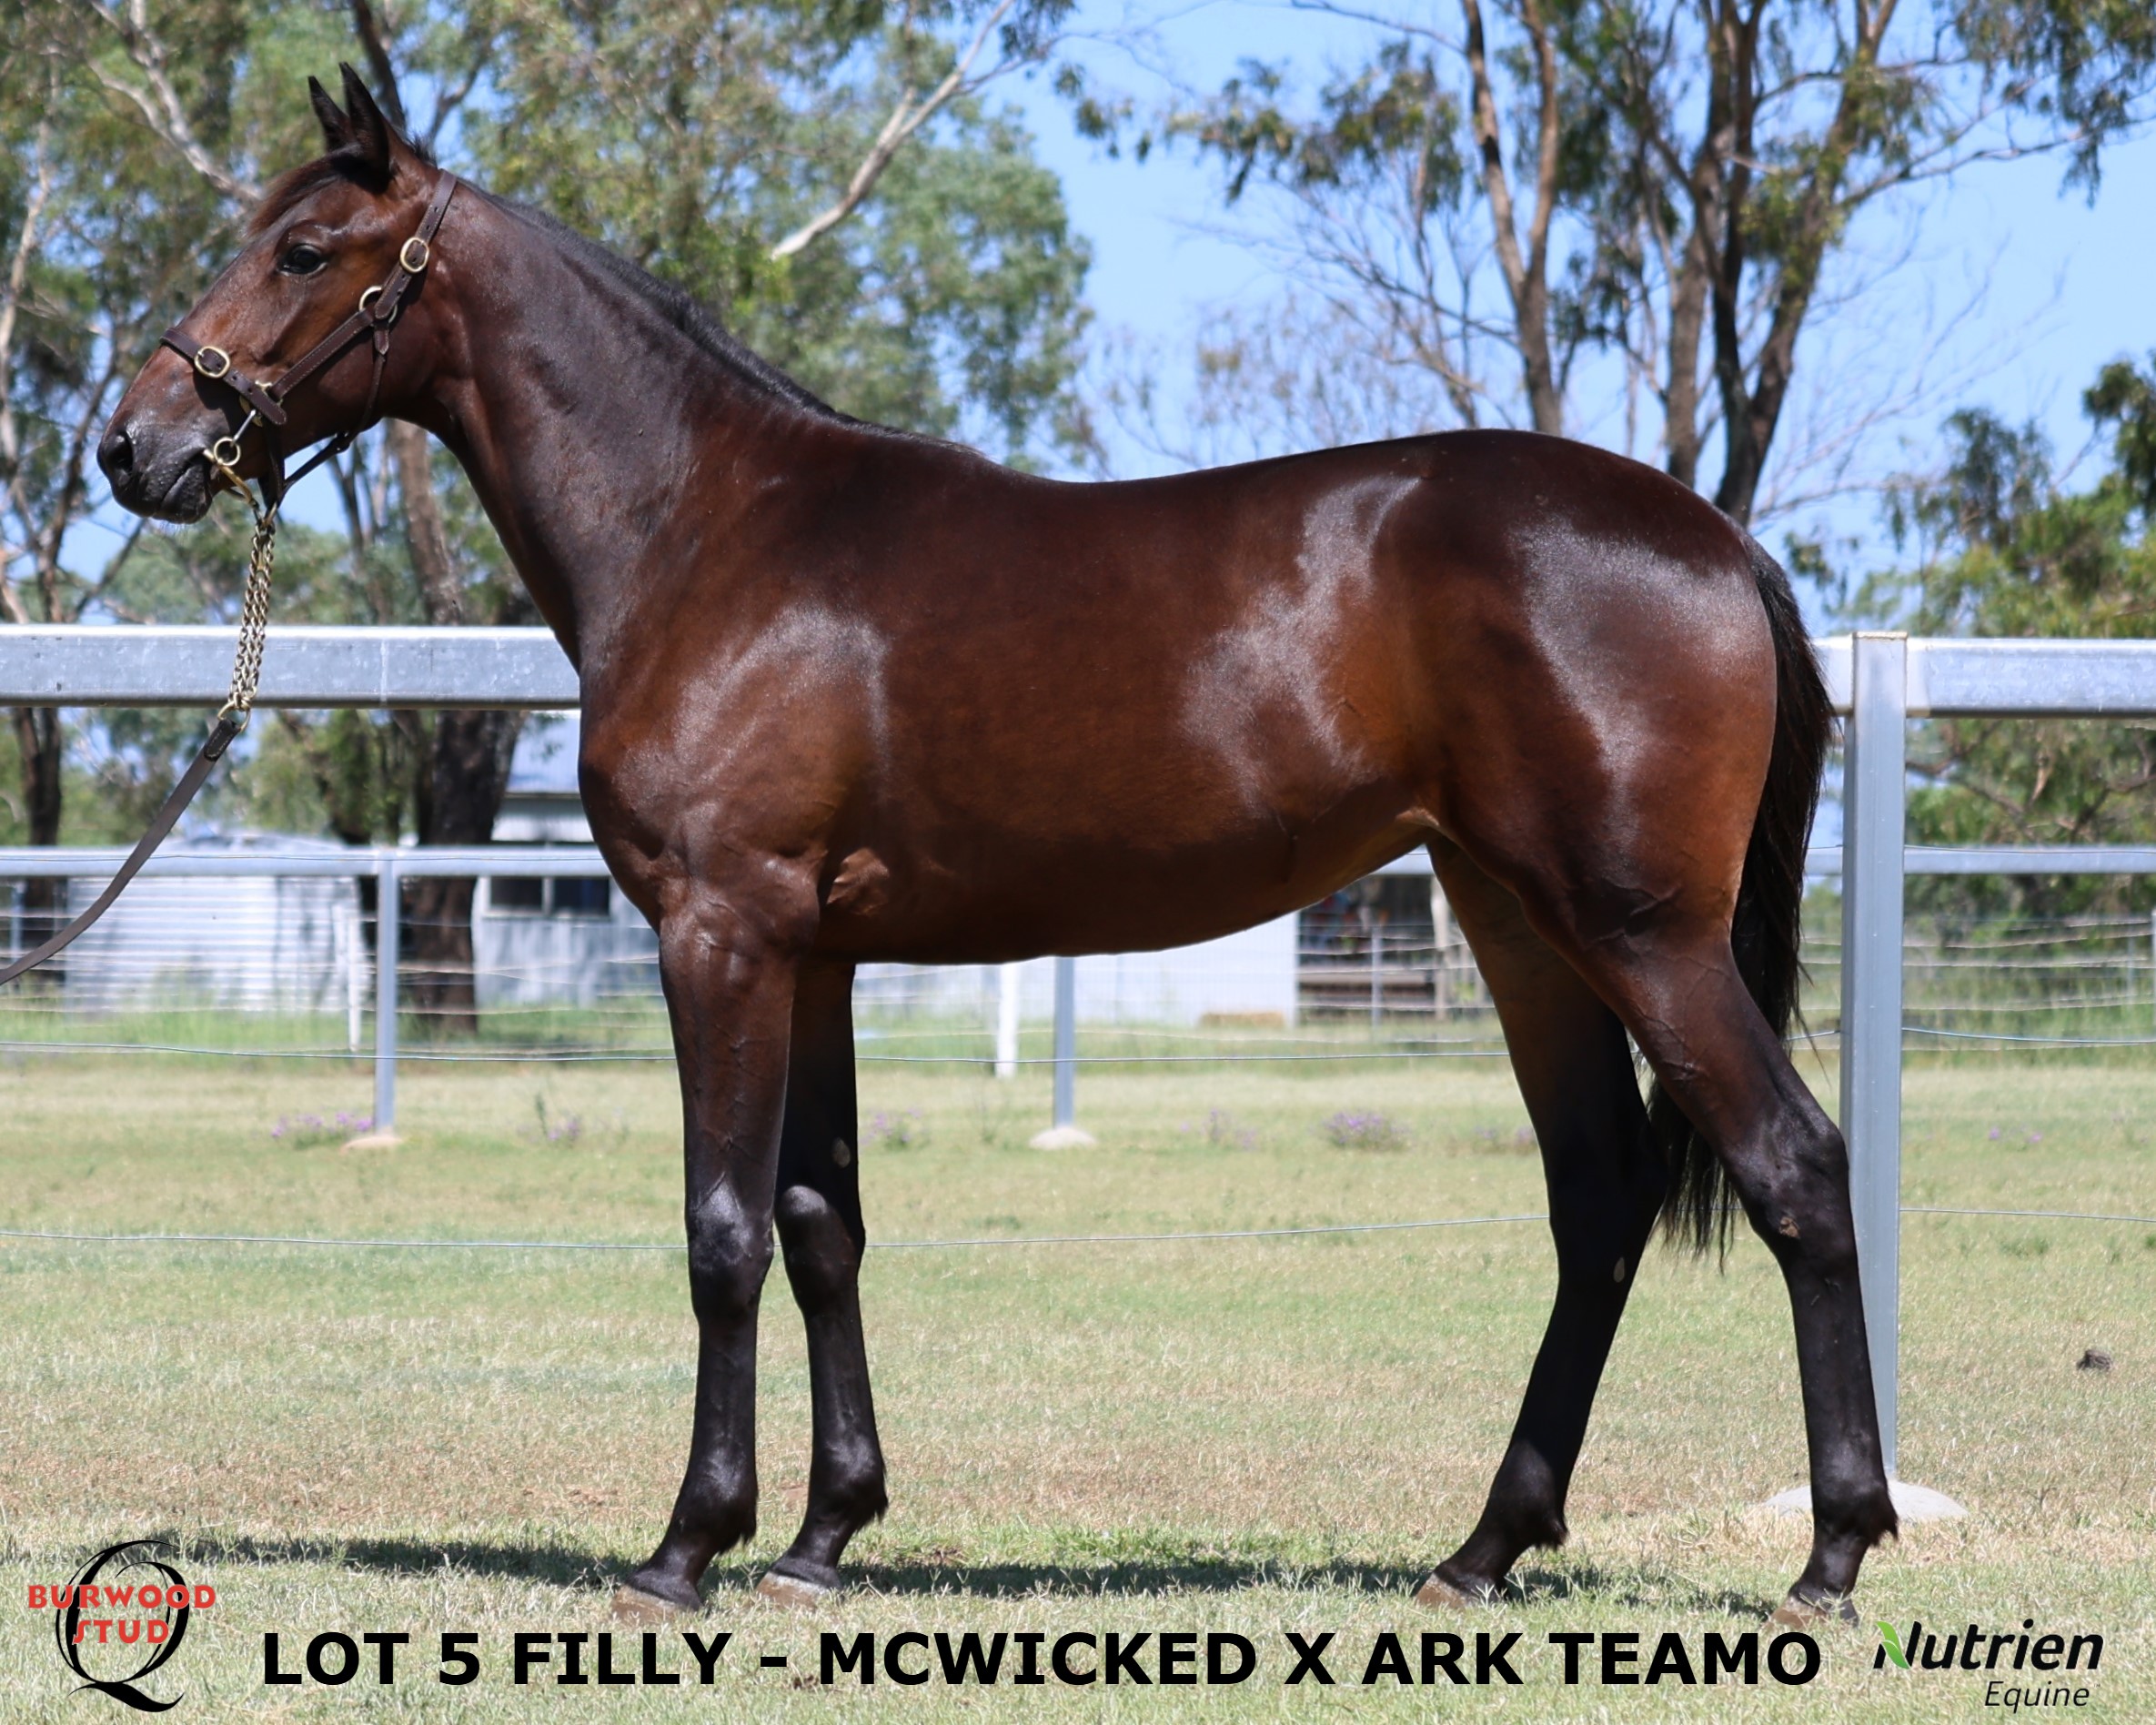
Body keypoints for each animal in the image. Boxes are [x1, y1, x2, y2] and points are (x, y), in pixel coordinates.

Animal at [99, 66, 1893, 1624]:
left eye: (304, 251)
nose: (133, 445)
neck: (707, 531)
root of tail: (1720, 541)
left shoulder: (720, 932)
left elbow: (722, 1234)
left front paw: (686, 1549)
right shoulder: (814, 954)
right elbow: (820, 1225)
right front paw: (822, 1537)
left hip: (1644, 934)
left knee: (1795, 1169)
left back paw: (1830, 1556)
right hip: (1522, 930)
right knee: (1598, 1204)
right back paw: (1482, 1551)